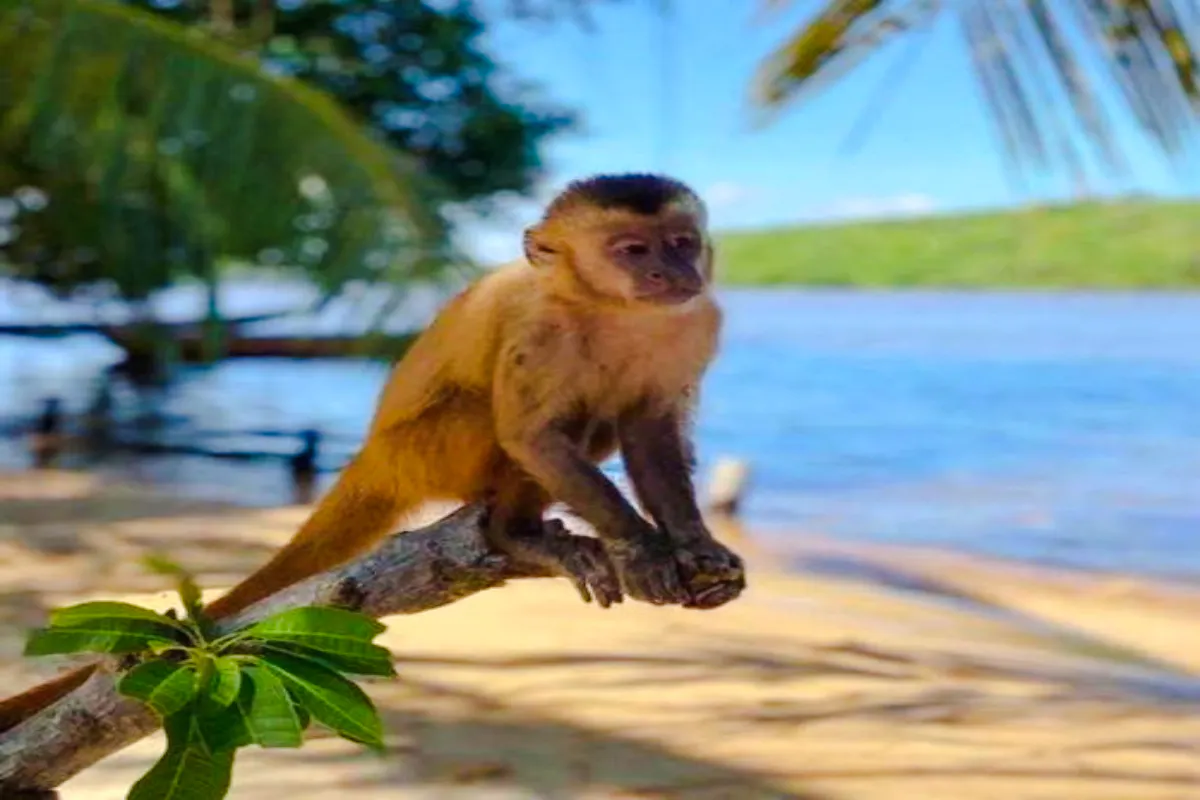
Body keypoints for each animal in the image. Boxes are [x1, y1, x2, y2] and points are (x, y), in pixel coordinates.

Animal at [0, 173, 745, 733]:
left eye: (681, 243)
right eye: (632, 249)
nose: (671, 269)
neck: (607, 308)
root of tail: (374, 456)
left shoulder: (698, 319)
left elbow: (650, 430)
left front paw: (693, 543)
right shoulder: (539, 323)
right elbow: (532, 436)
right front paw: (638, 546)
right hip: (429, 451)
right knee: (531, 424)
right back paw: (516, 533)